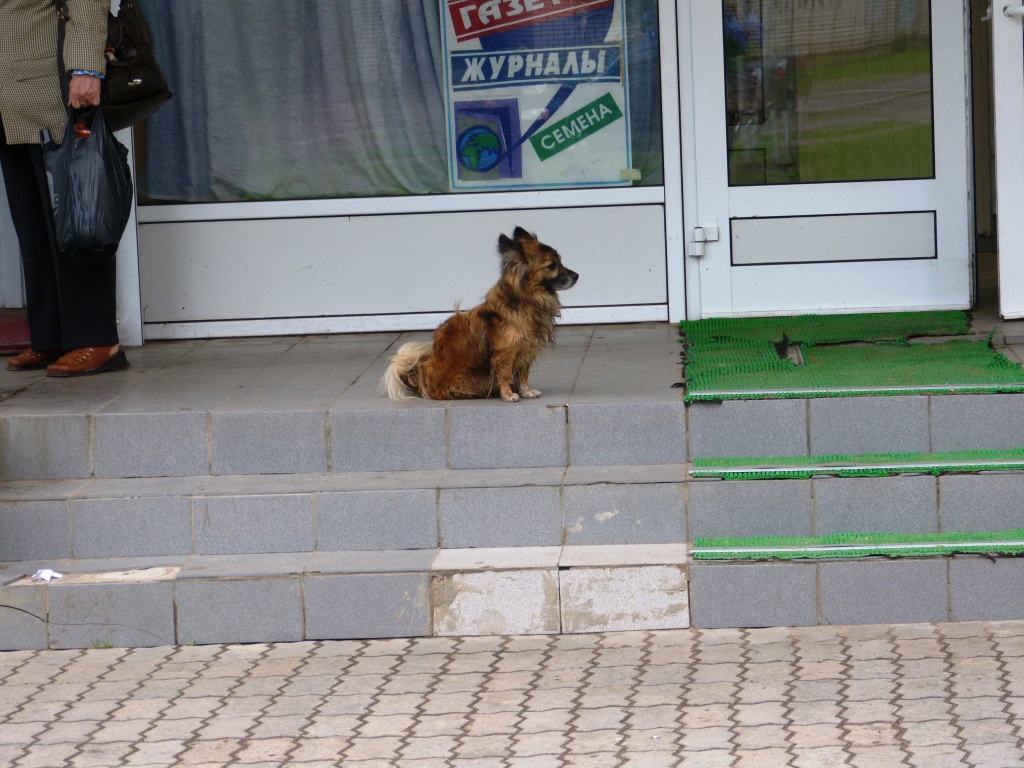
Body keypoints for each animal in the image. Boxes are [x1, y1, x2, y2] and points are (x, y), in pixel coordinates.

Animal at [382, 227, 577, 403]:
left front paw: (525, 391)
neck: (526, 300)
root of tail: (423, 378)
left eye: (560, 261)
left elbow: (523, 374)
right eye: (551, 266)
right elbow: (505, 374)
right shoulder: (505, 352)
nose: (577, 275)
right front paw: (508, 395)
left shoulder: (526, 349)